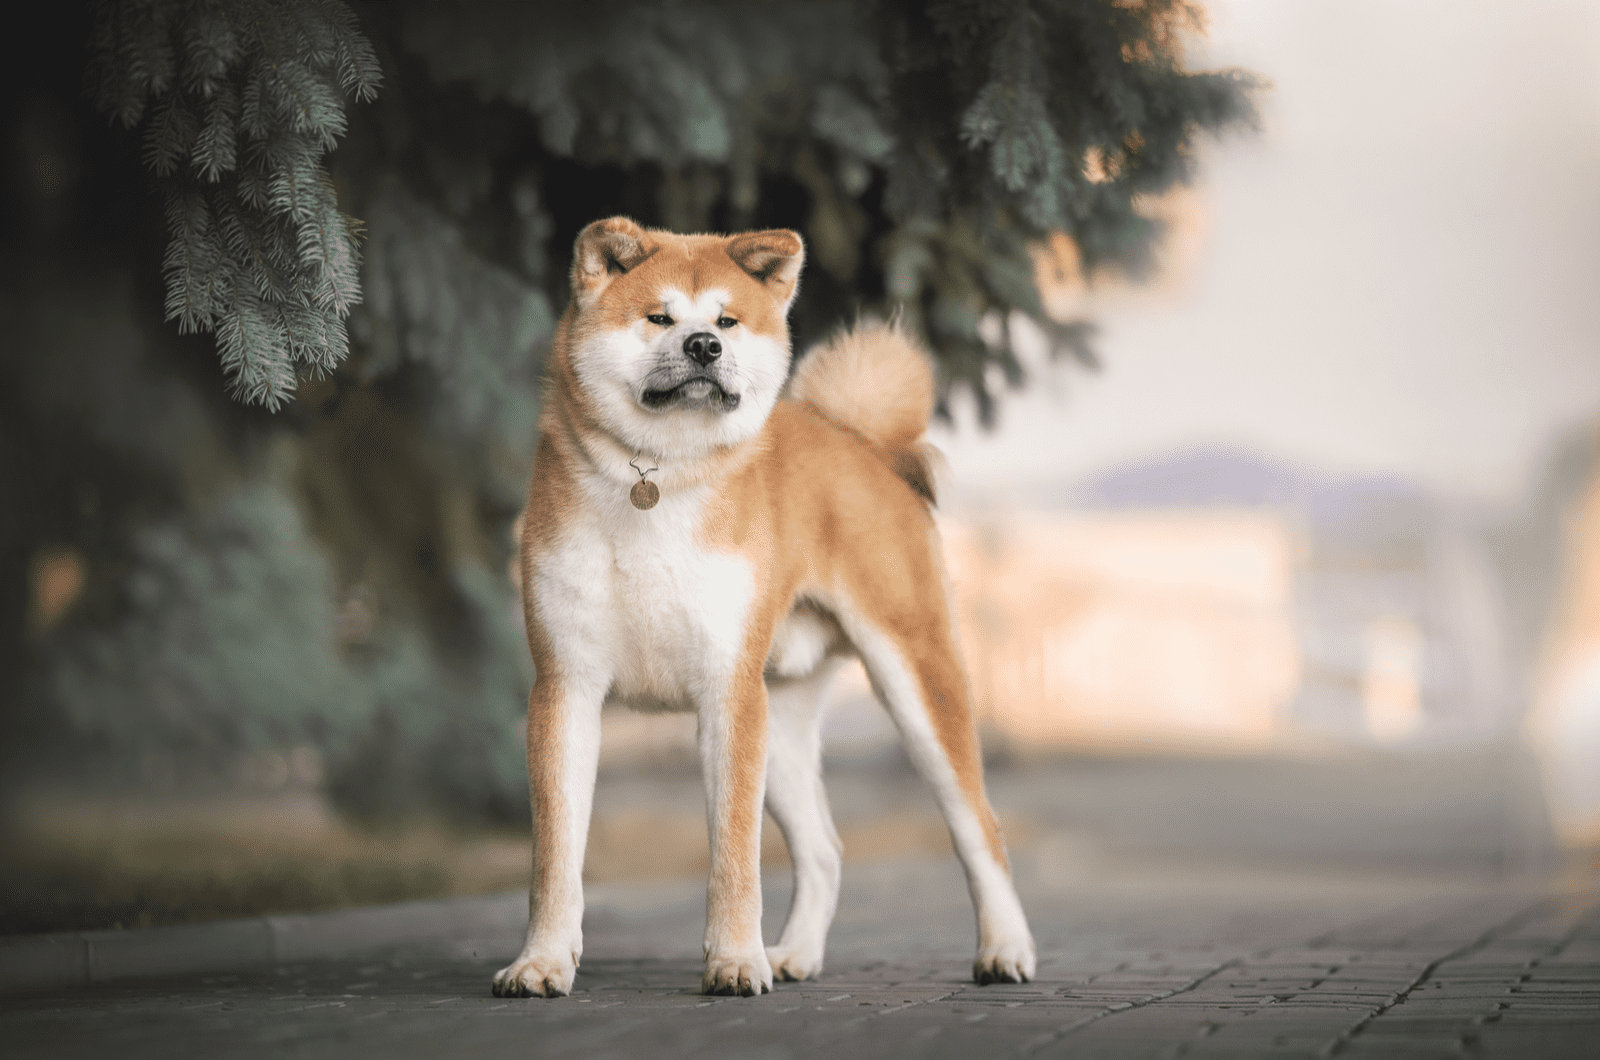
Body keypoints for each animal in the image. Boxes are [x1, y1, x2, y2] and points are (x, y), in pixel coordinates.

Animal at [489, 217, 1036, 1005]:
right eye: (659, 317)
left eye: (726, 322)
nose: (703, 348)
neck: (660, 476)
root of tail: (860, 443)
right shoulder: (566, 688)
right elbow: (555, 858)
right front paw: (542, 962)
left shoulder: (728, 691)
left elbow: (734, 854)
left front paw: (734, 961)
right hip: (781, 719)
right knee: (827, 851)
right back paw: (798, 953)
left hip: (916, 687)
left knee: (980, 831)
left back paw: (1005, 949)